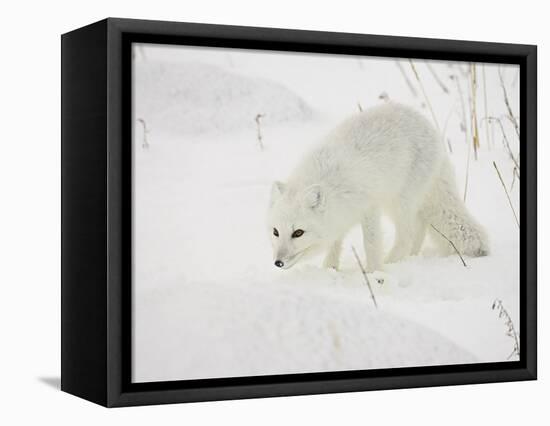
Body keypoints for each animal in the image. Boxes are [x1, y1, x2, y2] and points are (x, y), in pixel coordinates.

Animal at [270, 101, 490, 272]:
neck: (329, 181)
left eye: (298, 233)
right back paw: (410, 257)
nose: (278, 262)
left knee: (408, 235)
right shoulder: (339, 217)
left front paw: (374, 273)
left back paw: (393, 263)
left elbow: (371, 244)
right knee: (419, 226)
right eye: (275, 232)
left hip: (399, 201)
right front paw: (329, 270)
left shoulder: (370, 208)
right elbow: (335, 244)